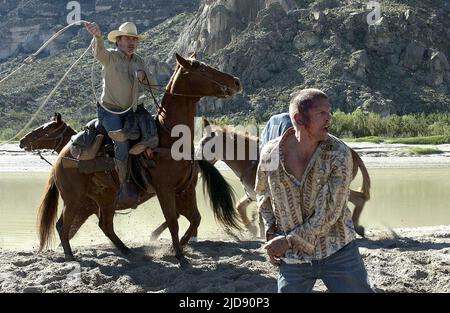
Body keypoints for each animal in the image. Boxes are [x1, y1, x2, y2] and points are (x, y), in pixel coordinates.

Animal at [31, 53, 243, 260]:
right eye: (201, 68)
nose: (236, 82)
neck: (169, 138)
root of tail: (60, 161)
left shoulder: (186, 189)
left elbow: (194, 219)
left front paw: (176, 247)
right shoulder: (165, 189)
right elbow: (173, 222)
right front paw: (179, 256)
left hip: (103, 199)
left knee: (103, 226)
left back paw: (127, 251)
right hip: (74, 199)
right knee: (64, 226)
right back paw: (70, 256)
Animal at [199, 119, 370, 236]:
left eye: (203, 144)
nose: (197, 163)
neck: (249, 160)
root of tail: (354, 153)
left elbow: (261, 218)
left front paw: (259, 232)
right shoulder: (252, 194)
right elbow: (240, 207)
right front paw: (252, 229)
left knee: (357, 198)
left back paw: (356, 226)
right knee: (358, 198)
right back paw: (357, 226)